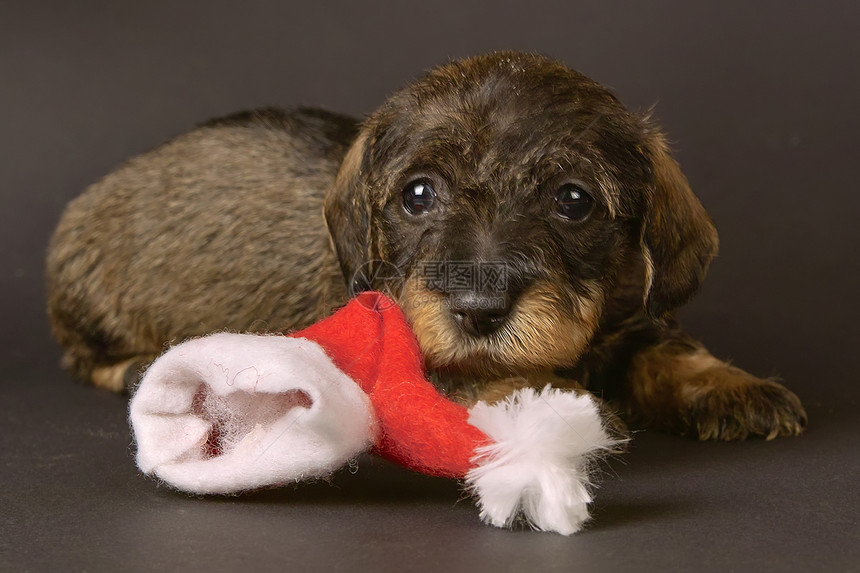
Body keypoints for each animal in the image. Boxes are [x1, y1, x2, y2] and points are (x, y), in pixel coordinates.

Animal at [48, 51, 808, 440]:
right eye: (419, 193)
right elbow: (479, 375)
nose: (479, 310)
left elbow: (671, 351)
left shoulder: (633, 318)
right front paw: (559, 397)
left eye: (573, 200)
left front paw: (733, 387)